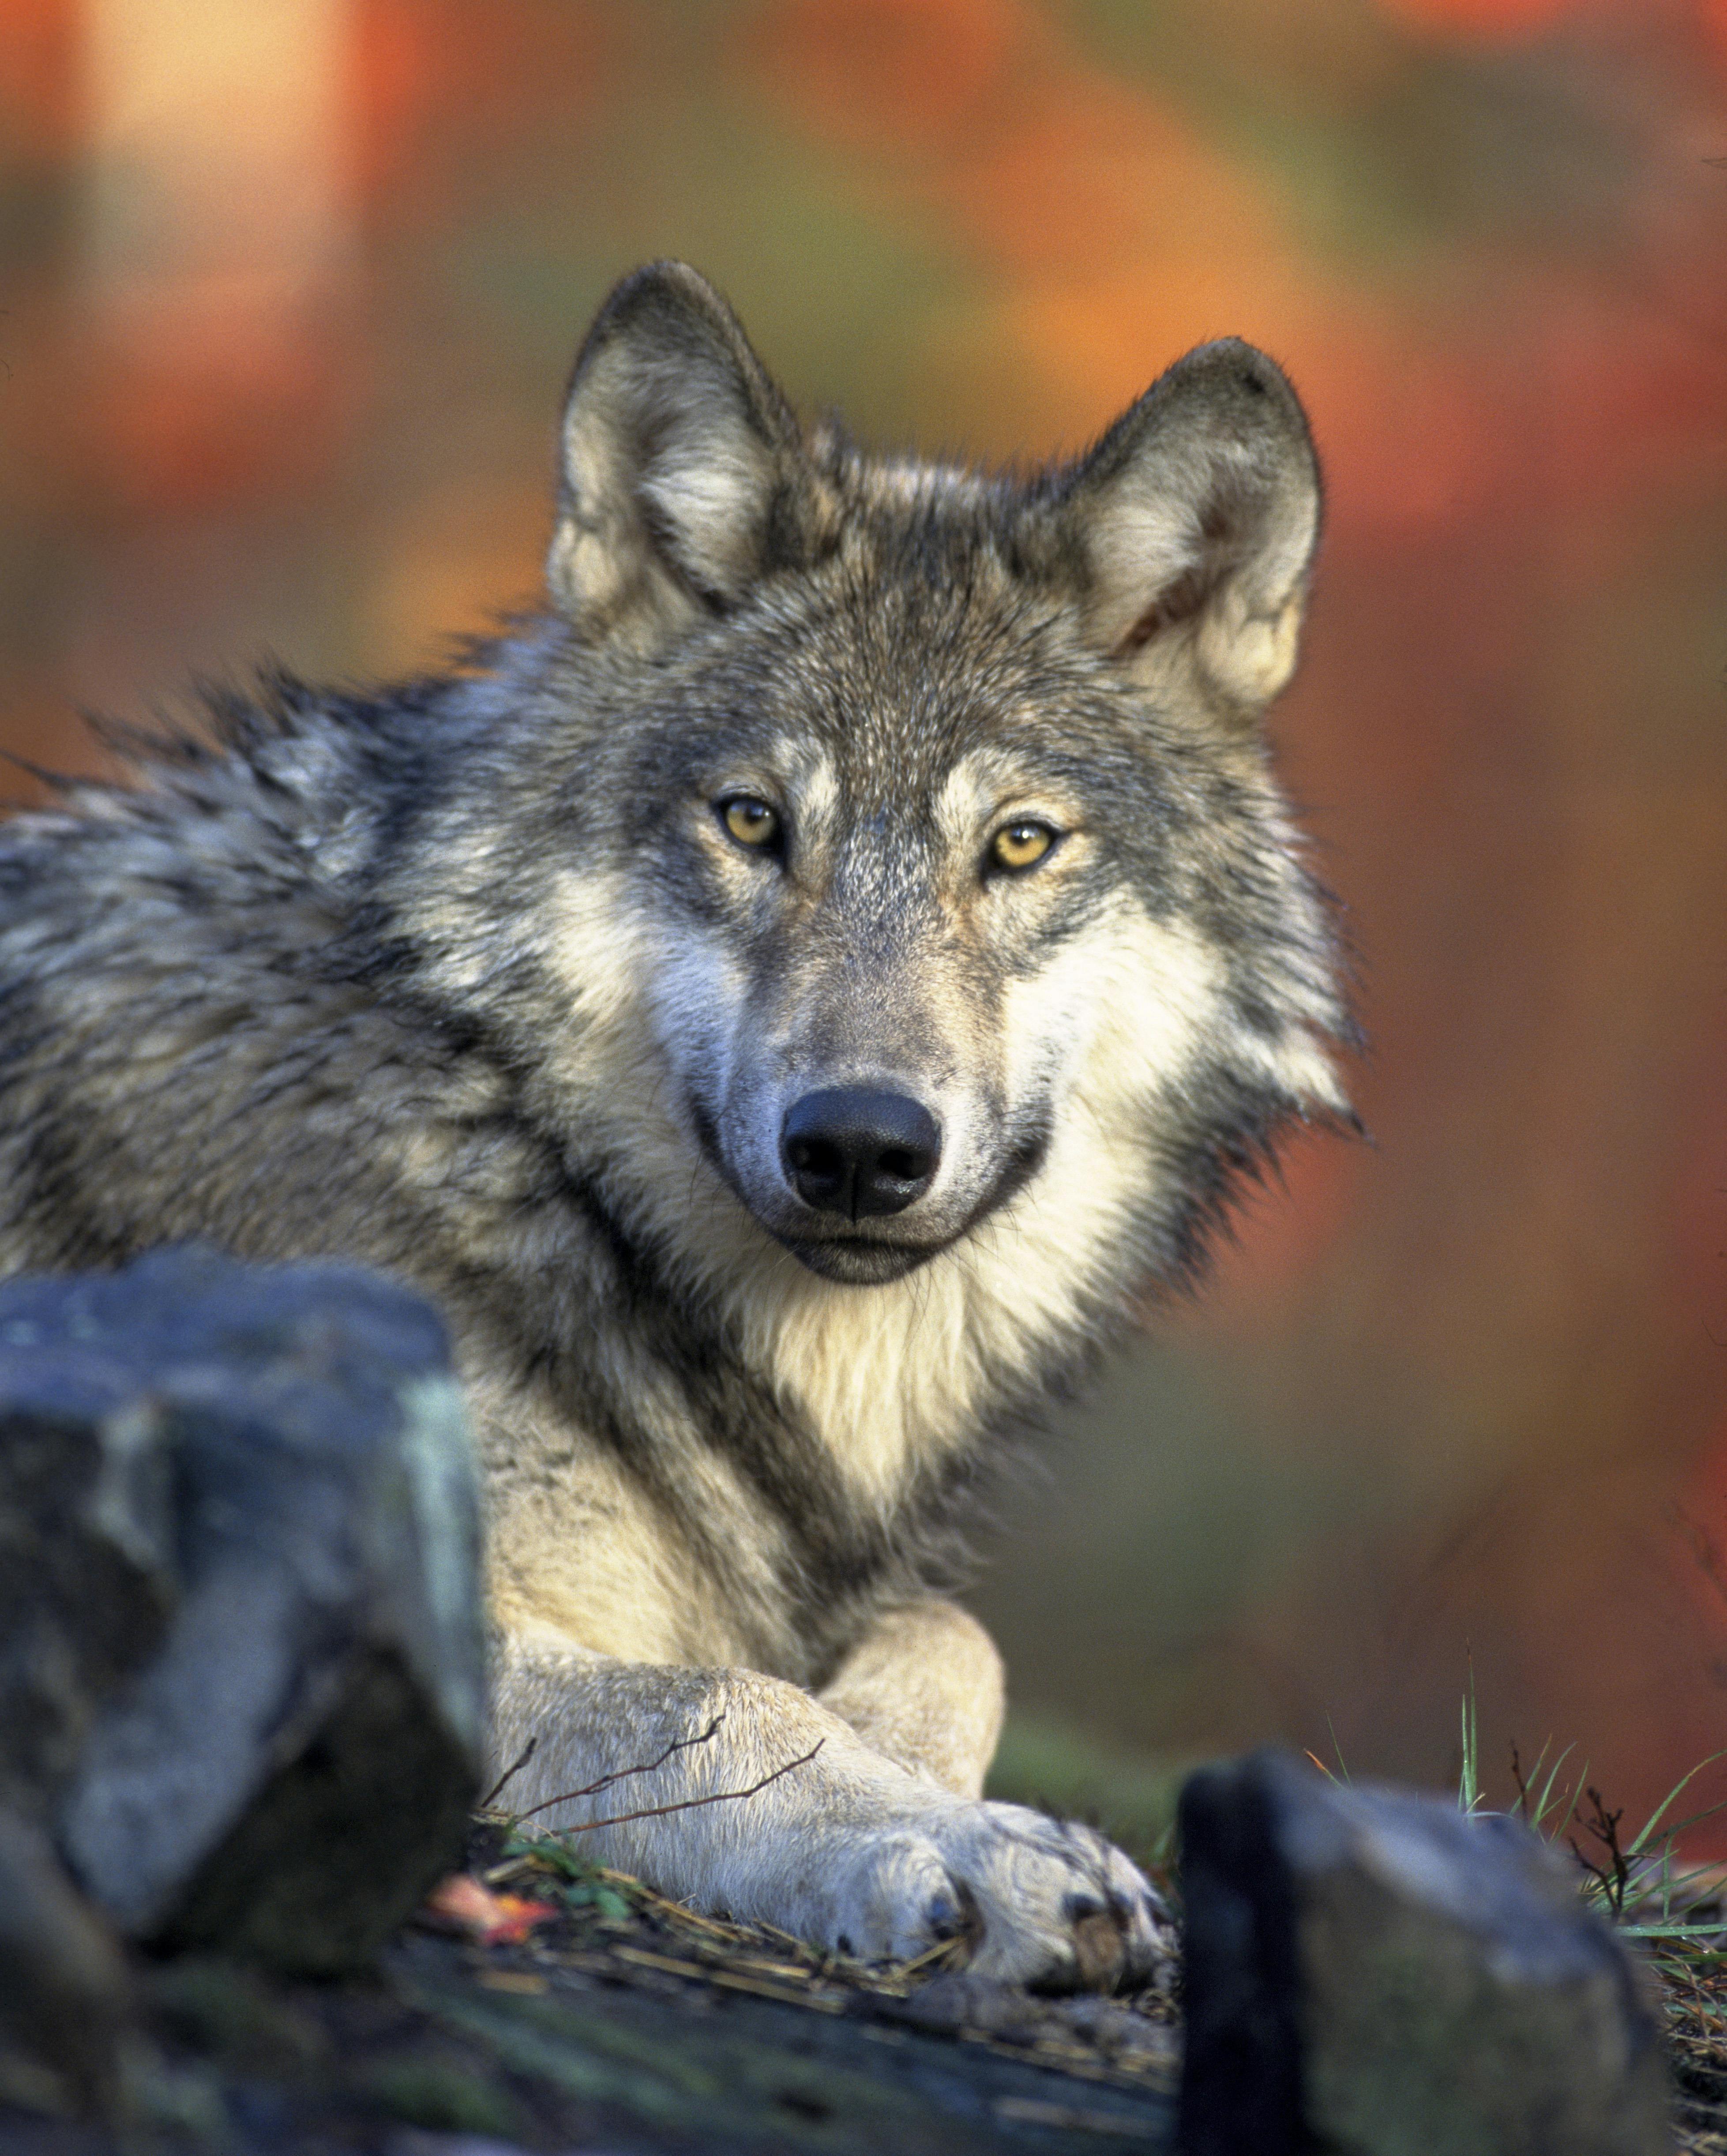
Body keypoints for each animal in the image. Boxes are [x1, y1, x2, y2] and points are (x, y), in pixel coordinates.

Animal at [0, 265, 1345, 1983]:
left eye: (1018, 845)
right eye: (752, 822)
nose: (859, 1145)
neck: (512, 1145)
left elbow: (950, 1632)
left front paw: (931, 1780)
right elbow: (723, 1696)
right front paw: (962, 1842)